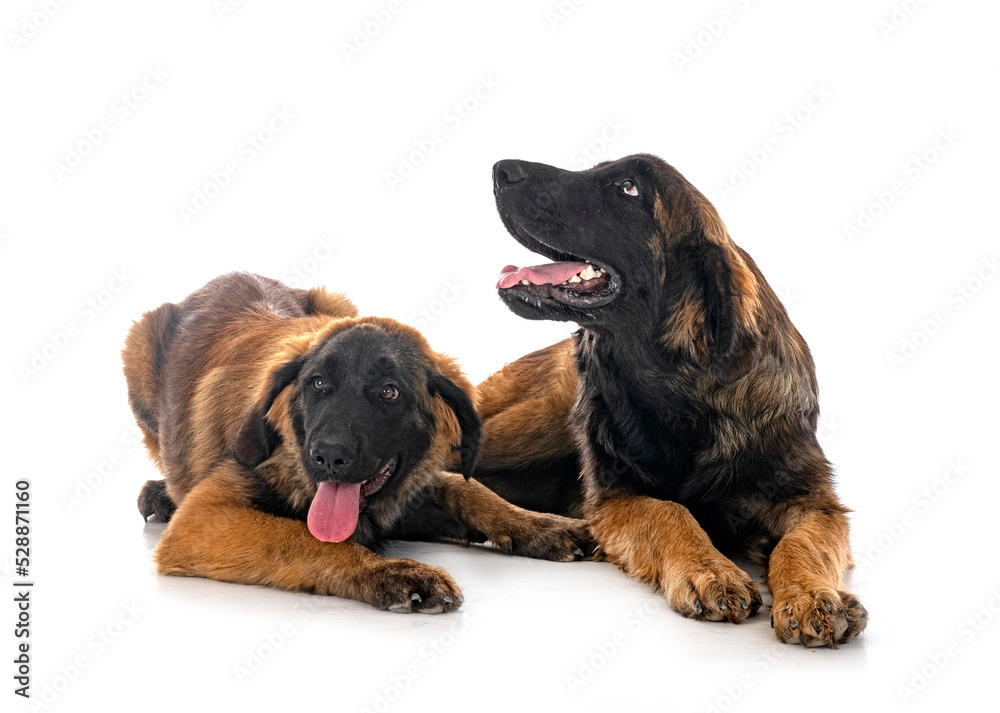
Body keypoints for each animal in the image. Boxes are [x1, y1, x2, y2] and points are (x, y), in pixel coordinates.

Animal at [125, 272, 592, 612]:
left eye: (389, 392)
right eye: (317, 384)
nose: (329, 457)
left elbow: (468, 487)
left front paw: (543, 525)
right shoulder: (204, 519)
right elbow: (300, 537)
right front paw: (392, 573)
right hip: (138, 345)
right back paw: (161, 494)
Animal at [468, 154, 868, 644]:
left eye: (627, 188)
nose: (501, 169)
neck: (684, 396)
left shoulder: (814, 501)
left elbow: (801, 542)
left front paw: (812, 596)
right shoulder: (617, 495)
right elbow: (669, 512)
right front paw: (709, 570)